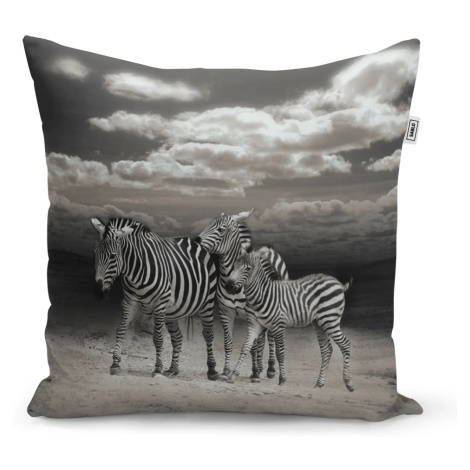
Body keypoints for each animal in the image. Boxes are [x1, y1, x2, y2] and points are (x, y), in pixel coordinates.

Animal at [91, 217, 219, 380]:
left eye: (113, 256)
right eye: (95, 253)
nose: (97, 292)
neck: (135, 271)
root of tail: (197, 243)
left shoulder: (160, 303)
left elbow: (157, 338)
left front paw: (157, 368)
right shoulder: (129, 301)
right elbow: (120, 330)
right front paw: (115, 364)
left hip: (207, 302)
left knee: (208, 334)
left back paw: (212, 370)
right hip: (172, 311)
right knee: (177, 337)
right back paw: (172, 370)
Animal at [195, 209, 289, 382]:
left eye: (221, 229)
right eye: (208, 224)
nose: (196, 240)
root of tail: (271, 250)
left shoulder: (251, 314)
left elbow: (253, 345)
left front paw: (255, 373)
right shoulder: (225, 312)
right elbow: (228, 343)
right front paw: (226, 371)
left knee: (270, 338)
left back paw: (270, 369)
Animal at [225, 247, 354, 391]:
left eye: (248, 268)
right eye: (234, 266)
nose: (228, 286)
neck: (260, 296)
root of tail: (338, 284)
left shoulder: (278, 325)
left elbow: (280, 353)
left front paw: (282, 379)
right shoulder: (254, 324)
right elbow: (245, 347)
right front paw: (233, 375)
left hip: (330, 320)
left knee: (346, 344)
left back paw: (348, 383)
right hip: (319, 323)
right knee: (327, 350)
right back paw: (319, 383)